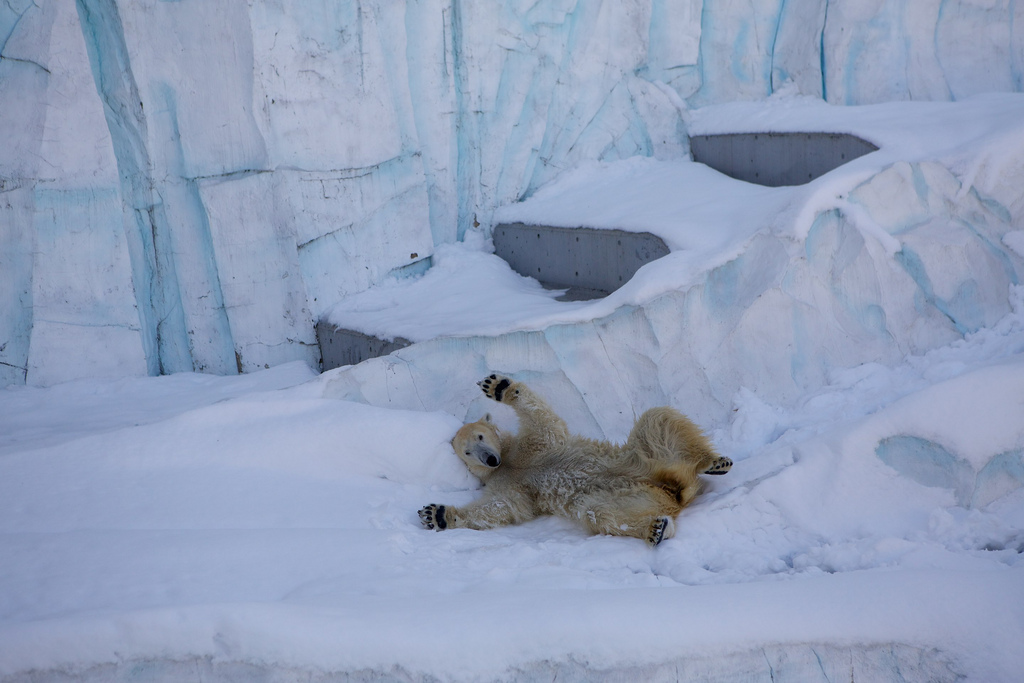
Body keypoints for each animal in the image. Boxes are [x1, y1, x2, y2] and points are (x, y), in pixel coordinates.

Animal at [417, 374, 729, 544]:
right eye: (467, 452)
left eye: (481, 436)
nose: (490, 460)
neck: (510, 461)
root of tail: (671, 489)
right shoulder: (511, 485)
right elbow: (502, 506)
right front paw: (438, 514)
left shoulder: (536, 445)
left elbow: (543, 419)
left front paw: (499, 386)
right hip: (635, 495)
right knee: (597, 511)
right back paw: (656, 528)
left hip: (641, 458)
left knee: (657, 418)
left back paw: (713, 462)